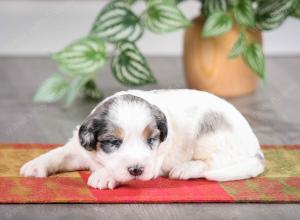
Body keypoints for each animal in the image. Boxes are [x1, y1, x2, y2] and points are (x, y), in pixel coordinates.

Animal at [20, 89, 264, 189]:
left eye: (151, 140)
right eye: (114, 143)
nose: (136, 169)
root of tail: (257, 149)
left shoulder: (154, 161)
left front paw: (104, 176)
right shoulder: (79, 149)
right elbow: (58, 153)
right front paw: (34, 165)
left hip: (211, 136)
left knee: (210, 164)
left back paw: (184, 169)